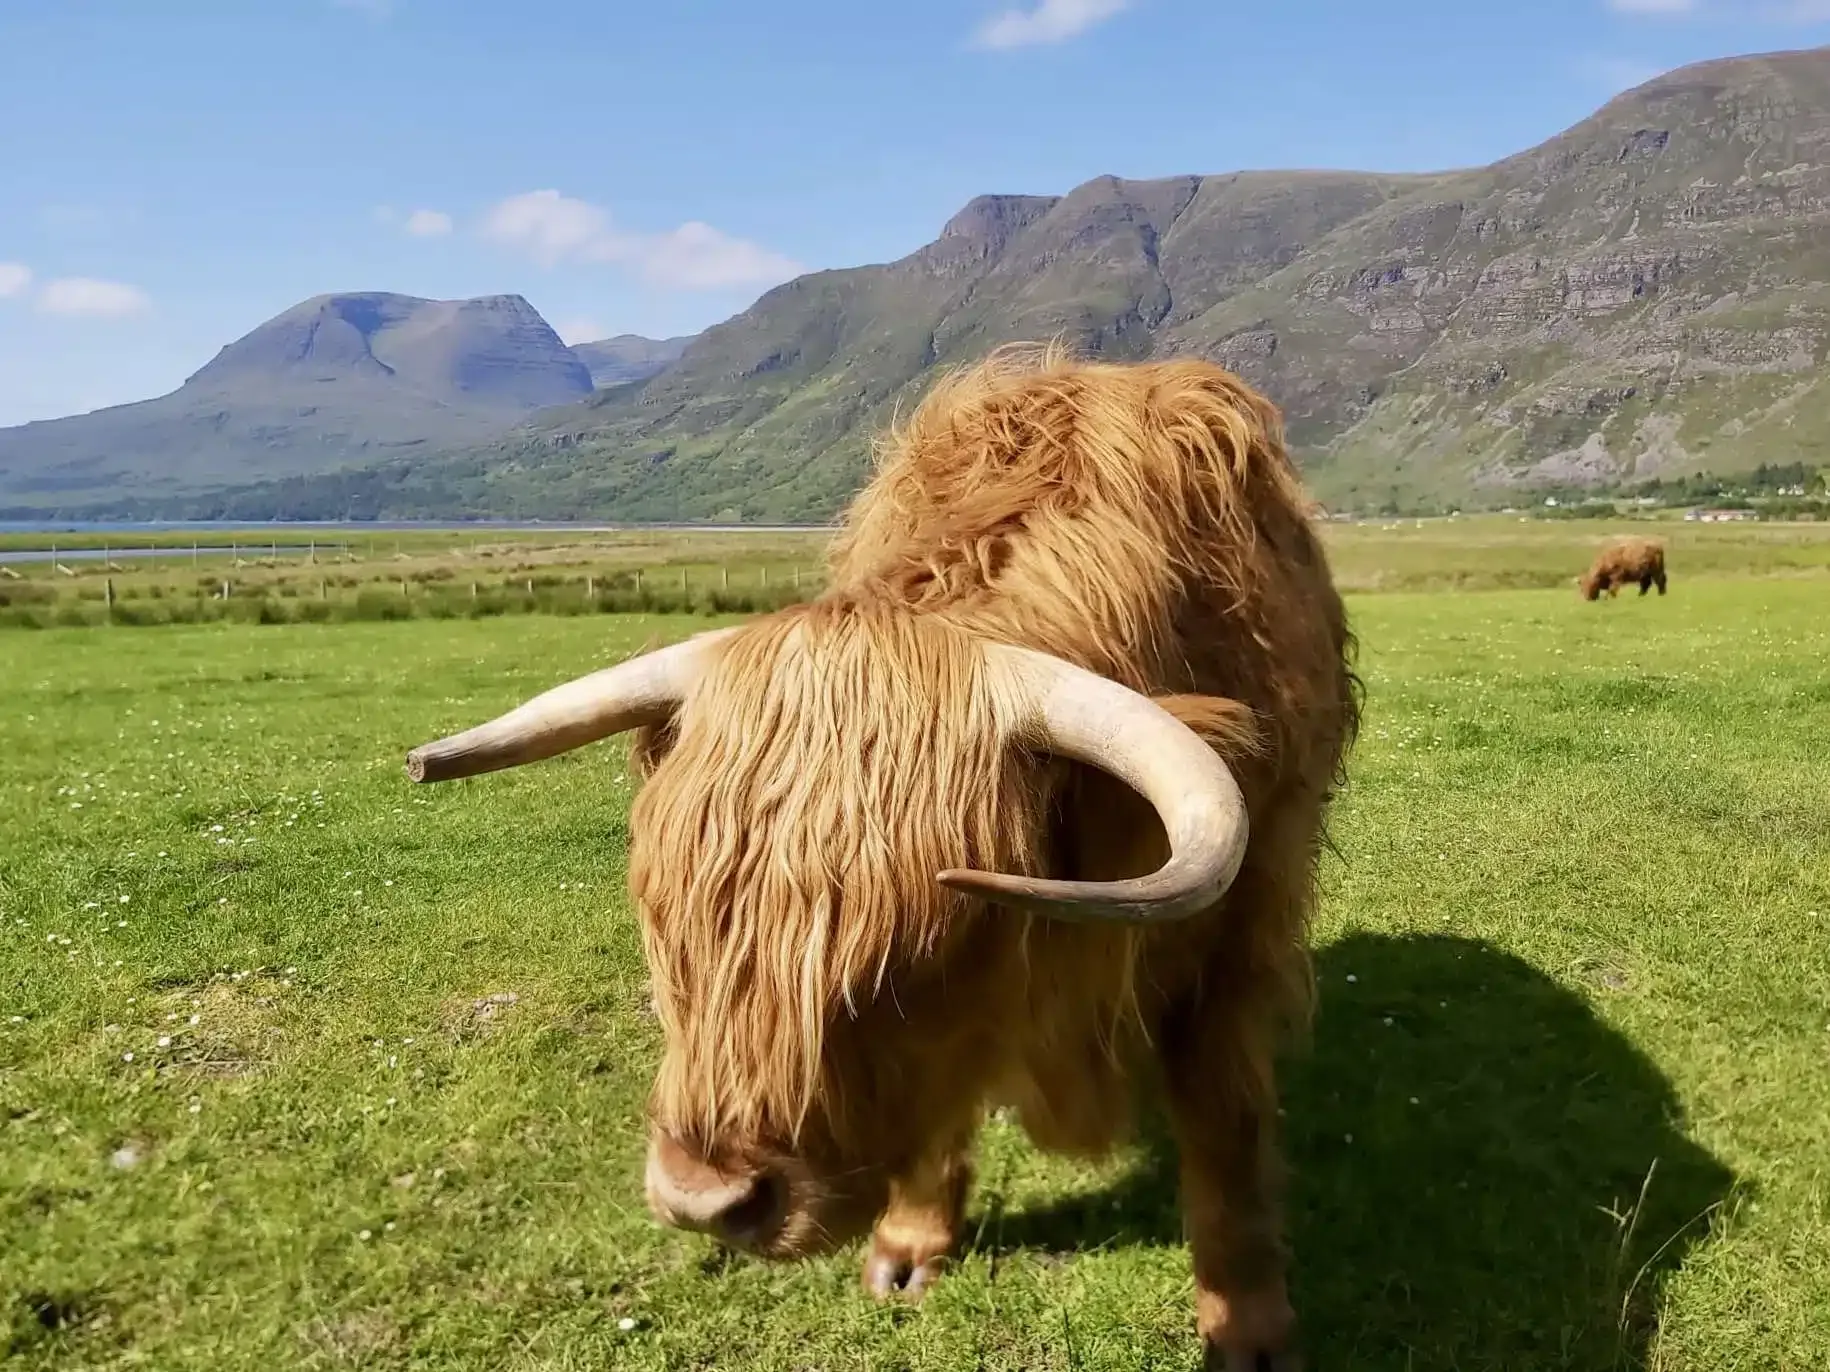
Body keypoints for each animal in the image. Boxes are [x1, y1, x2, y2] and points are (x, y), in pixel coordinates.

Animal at [406, 345, 1360, 1370]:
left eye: (920, 952)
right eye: (663, 924)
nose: (705, 1201)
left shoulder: (1239, 930)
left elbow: (1225, 1123)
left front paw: (1248, 1327)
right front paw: (907, 1247)